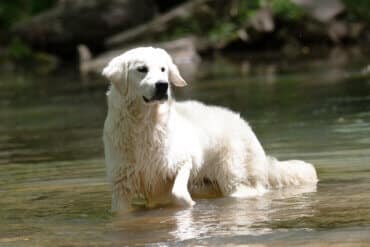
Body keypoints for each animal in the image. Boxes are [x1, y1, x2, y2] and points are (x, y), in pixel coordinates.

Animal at [102, 46, 318, 210]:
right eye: (142, 69)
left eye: (163, 69)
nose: (163, 86)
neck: (144, 125)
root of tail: (244, 124)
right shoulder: (122, 187)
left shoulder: (183, 161)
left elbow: (178, 192)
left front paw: (189, 206)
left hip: (232, 178)